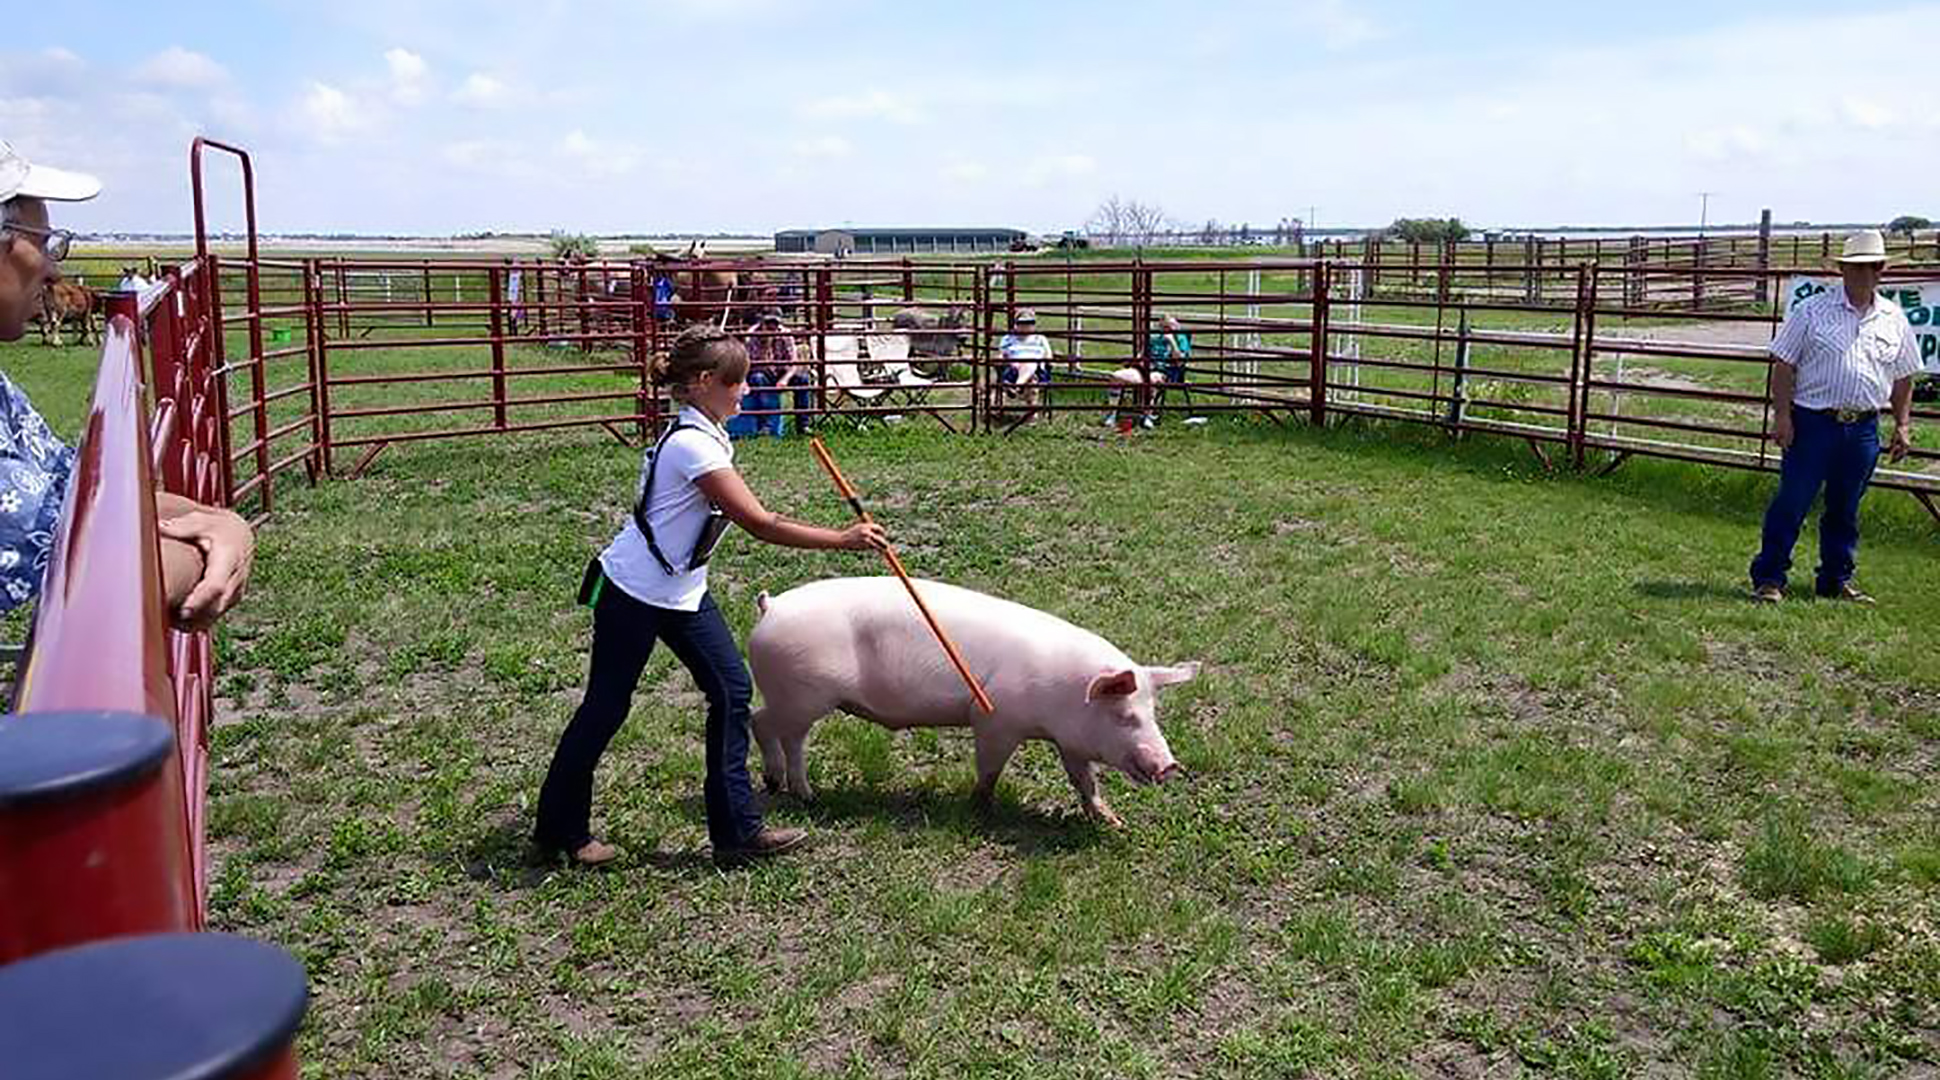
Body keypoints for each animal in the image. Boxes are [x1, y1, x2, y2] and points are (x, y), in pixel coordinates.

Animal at [744, 577, 1187, 822]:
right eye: (1125, 715)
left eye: (1153, 713)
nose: (1170, 765)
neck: (1066, 694)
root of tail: (771, 607)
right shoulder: (993, 719)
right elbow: (990, 769)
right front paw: (980, 808)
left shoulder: (1071, 742)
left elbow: (1084, 780)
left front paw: (1114, 822)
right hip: (803, 695)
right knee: (760, 722)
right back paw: (789, 789)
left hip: (801, 699)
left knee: (785, 734)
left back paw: (795, 790)